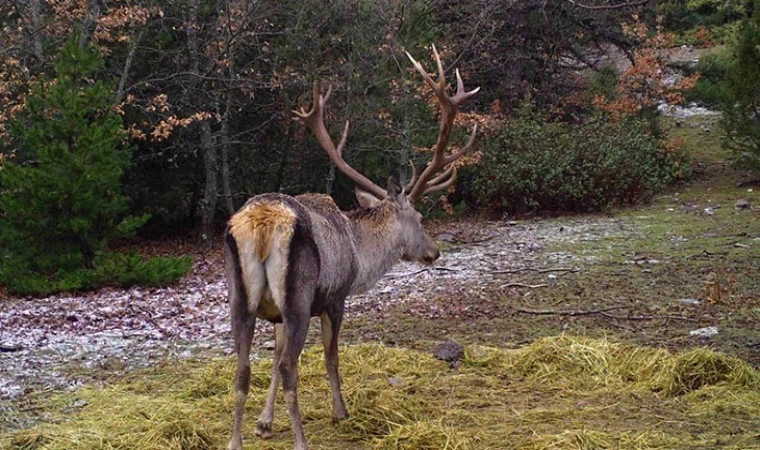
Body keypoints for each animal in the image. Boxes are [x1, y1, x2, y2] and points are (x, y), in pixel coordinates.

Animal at [223, 46, 478, 450]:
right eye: (420, 217)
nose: (434, 251)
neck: (360, 252)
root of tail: (262, 224)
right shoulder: (335, 296)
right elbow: (330, 356)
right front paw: (340, 411)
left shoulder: (275, 314)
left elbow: (273, 355)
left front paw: (264, 423)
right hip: (297, 295)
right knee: (290, 365)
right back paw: (302, 440)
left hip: (239, 296)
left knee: (243, 367)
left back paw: (235, 440)